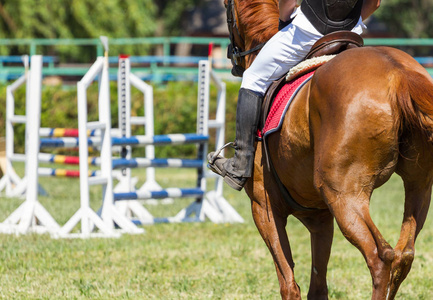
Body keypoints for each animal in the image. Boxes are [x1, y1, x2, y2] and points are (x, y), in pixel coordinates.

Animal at [224, 0, 432, 300]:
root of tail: (399, 75)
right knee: (404, 255)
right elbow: (317, 286)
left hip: (344, 195)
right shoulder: (320, 218)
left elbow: (289, 284)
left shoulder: (264, 208)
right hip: (418, 186)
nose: (233, 60)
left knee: (380, 257)